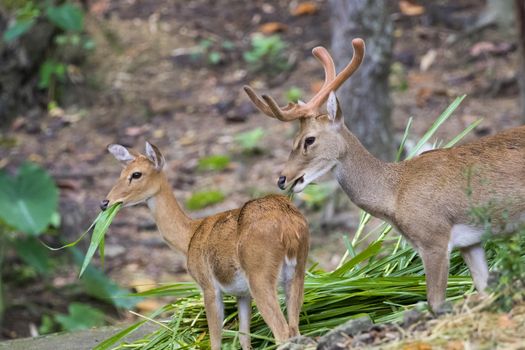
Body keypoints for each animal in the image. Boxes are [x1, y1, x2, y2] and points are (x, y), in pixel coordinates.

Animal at [100, 142, 310, 348]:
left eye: (136, 174)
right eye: (121, 173)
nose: (105, 202)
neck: (189, 237)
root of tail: (289, 228)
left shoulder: (208, 285)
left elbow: (215, 339)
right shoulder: (242, 293)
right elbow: (244, 336)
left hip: (260, 274)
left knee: (282, 333)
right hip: (297, 272)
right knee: (295, 331)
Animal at [245, 38, 524, 312]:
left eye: (309, 140)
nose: (282, 179)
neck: (395, 194)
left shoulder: (434, 237)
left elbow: (435, 303)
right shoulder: (470, 242)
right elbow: (485, 289)